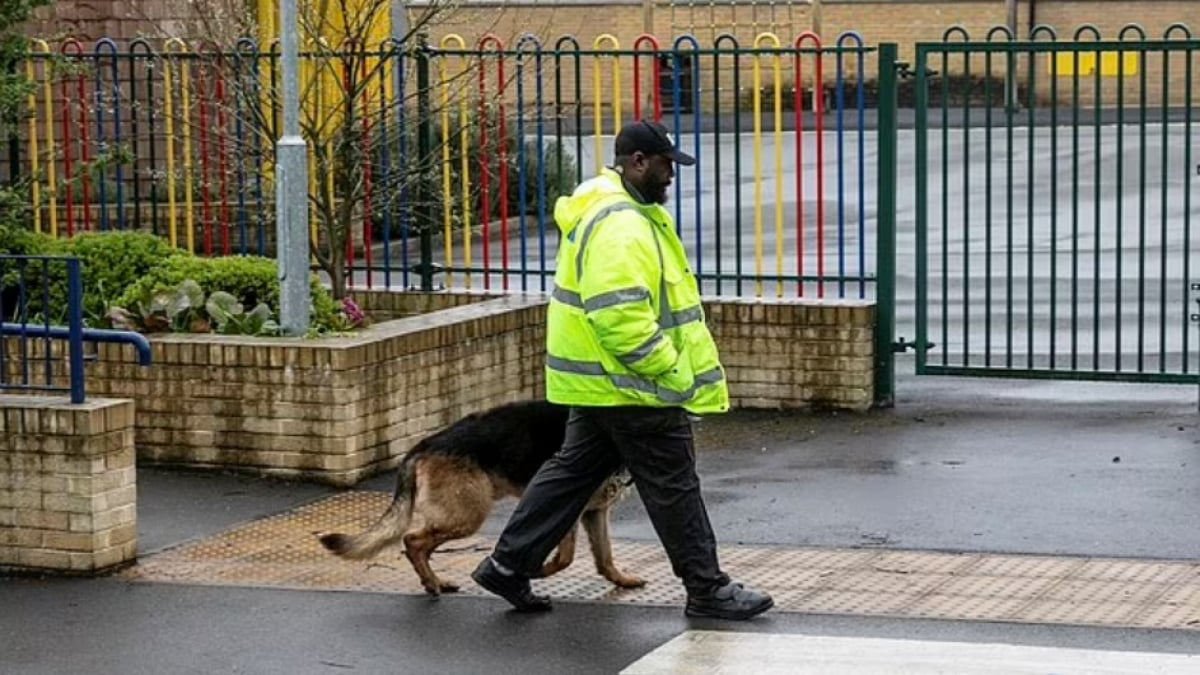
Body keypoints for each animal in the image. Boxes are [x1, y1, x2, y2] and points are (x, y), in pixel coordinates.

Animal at [314, 398, 643, 593]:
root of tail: (423, 446)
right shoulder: (570, 509)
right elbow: (566, 558)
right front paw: (538, 571)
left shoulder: (594, 512)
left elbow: (605, 555)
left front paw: (620, 579)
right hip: (468, 515)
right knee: (413, 540)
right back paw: (432, 582)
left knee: (420, 545)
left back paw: (432, 580)